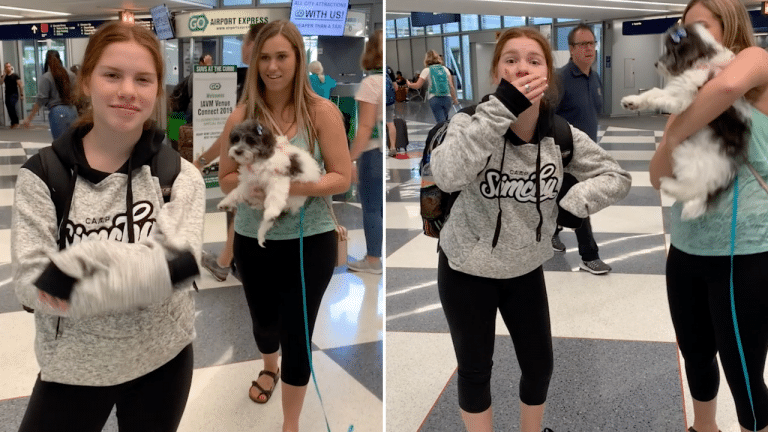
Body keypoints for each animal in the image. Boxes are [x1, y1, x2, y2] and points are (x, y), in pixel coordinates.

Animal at [616, 22, 752, 219]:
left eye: (670, 50)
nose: (656, 63)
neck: (701, 58)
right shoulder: (674, 88)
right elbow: (653, 91)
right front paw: (632, 101)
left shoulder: (682, 98)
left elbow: (662, 98)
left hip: (689, 154)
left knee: (696, 188)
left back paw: (670, 186)